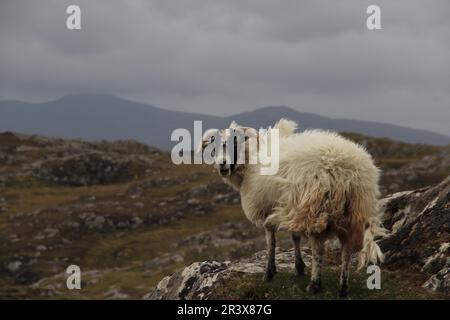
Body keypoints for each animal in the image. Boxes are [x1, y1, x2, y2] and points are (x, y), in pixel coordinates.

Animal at [199, 119, 384, 296]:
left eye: (235, 142)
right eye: (214, 147)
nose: (222, 164)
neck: (251, 159)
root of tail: (347, 169)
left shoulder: (269, 207)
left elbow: (271, 240)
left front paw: (269, 272)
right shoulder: (290, 204)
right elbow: (295, 236)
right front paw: (298, 267)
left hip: (314, 207)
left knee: (318, 247)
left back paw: (315, 284)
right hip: (354, 210)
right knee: (346, 249)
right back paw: (343, 287)